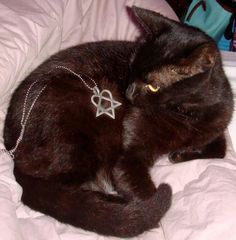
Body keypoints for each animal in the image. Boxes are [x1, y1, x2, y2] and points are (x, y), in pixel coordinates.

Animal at [2, 6, 233, 237]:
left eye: (153, 86)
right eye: (132, 69)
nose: (128, 93)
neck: (188, 112)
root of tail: (11, 145)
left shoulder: (216, 128)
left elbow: (220, 150)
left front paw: (181, 154)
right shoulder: (129, 157)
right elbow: (147, 196)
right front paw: (145, 210)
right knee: (57, 190)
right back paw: (115, 204)